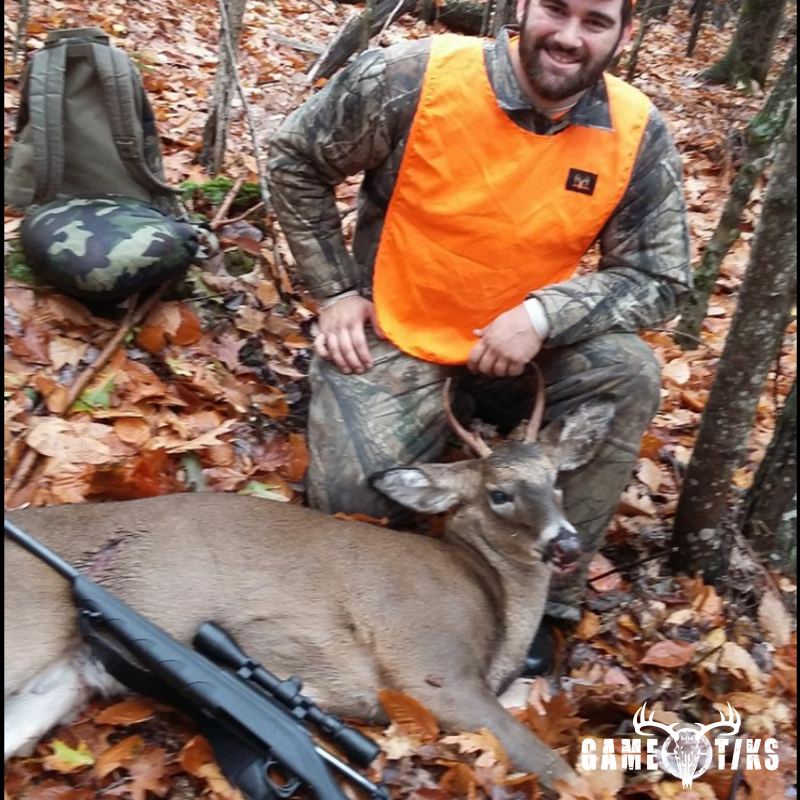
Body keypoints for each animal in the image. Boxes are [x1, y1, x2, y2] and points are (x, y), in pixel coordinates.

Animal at [4, 377, 614, 791]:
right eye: (498, 494)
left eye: (556, 481)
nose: (566, 544)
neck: (490, 596)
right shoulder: (428, 667)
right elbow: (558, 768)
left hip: (63, 679)